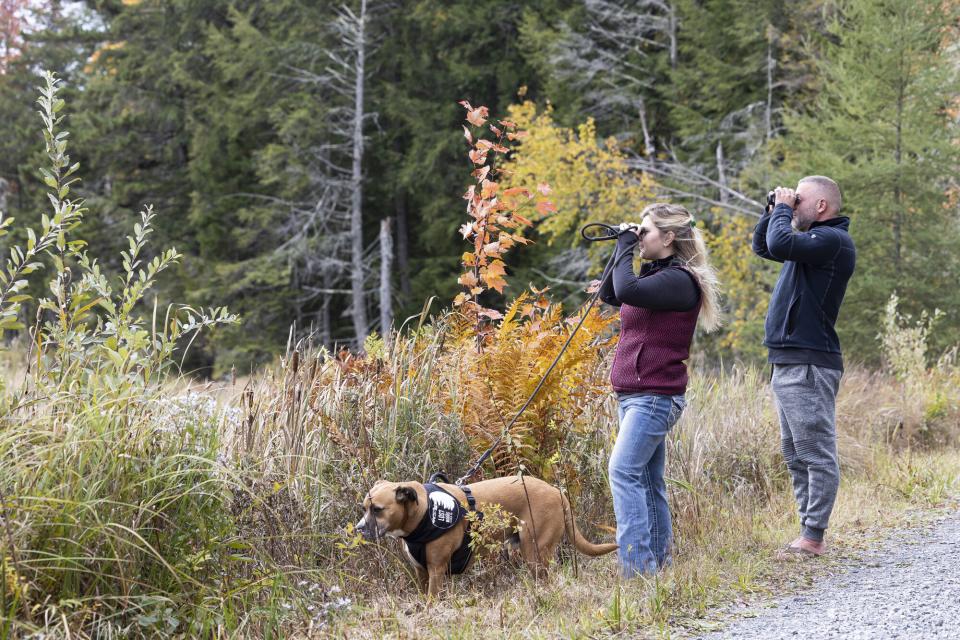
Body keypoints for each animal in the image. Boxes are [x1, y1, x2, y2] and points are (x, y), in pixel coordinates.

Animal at [356, 476, 620, 596]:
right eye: (364, 508)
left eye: (377, 509)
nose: (359, 528)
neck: (423, 512)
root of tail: (556, 491)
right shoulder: (422, 571)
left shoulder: (436, 570)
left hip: (535, 552)